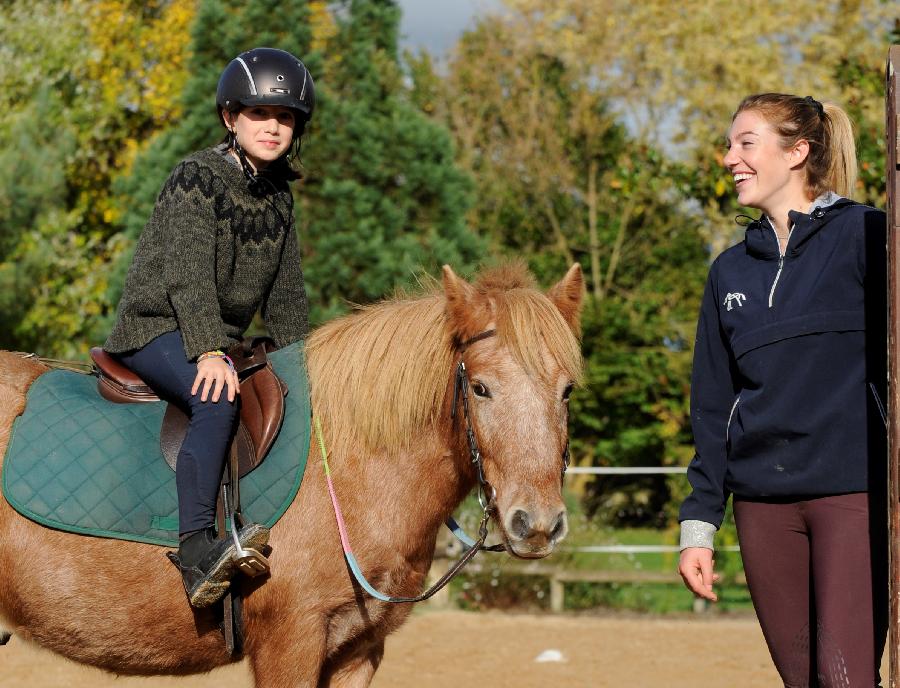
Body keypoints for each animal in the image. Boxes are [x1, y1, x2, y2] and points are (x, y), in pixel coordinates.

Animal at [0, 264, 584, 688]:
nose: (537, 523)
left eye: (567, 390)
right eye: (481, 388)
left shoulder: (357, 650)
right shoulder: (291, 642)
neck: (347, 471)